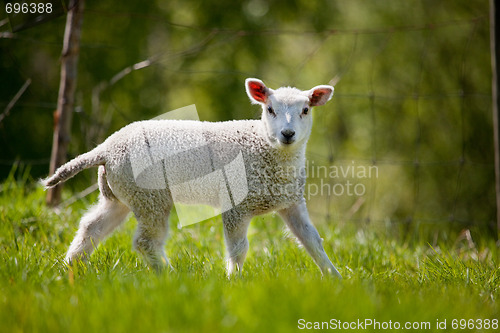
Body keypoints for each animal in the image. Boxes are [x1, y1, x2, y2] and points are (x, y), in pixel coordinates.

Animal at [42, 78, 344, 278]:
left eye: (306, 110)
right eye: (270, 110)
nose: (287, 134)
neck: (265, 148)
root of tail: (105, 148)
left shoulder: (291, 202)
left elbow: (312, 240)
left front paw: (335, 278)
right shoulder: (236, 203)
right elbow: (238, 249)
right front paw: (235, 281)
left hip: (121, 192)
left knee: (91, 226)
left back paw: (70, 267)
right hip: (150, 195)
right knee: (146, 242)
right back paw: (169, 276)